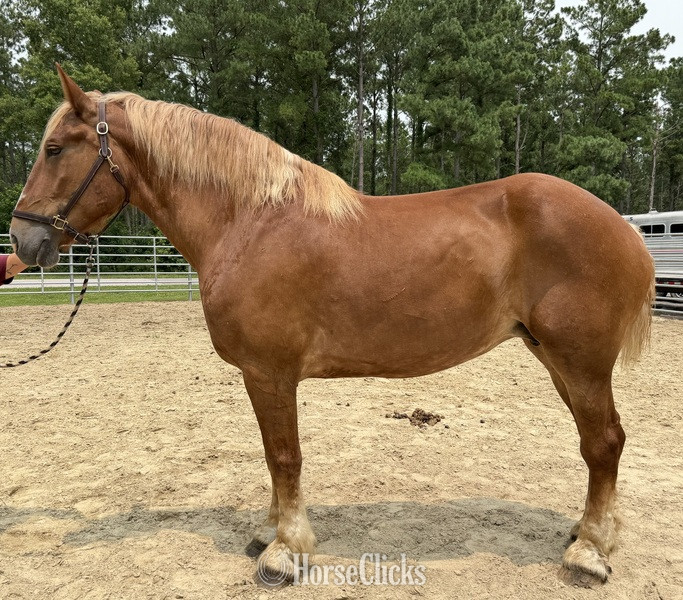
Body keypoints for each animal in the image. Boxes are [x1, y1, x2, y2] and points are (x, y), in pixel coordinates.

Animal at [10, 66, 654, 587]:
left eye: (54, 149)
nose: (22, 240)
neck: (248, 223)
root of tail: (623, 228)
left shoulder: (269, 372)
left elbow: (284, 456)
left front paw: (285, 552)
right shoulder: (262, 376)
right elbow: (273, 456)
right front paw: (268, 532)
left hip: (580, 361)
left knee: (603, 443)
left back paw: (588, 554)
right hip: (554, 357)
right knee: (602, 444)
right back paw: (585, 533)